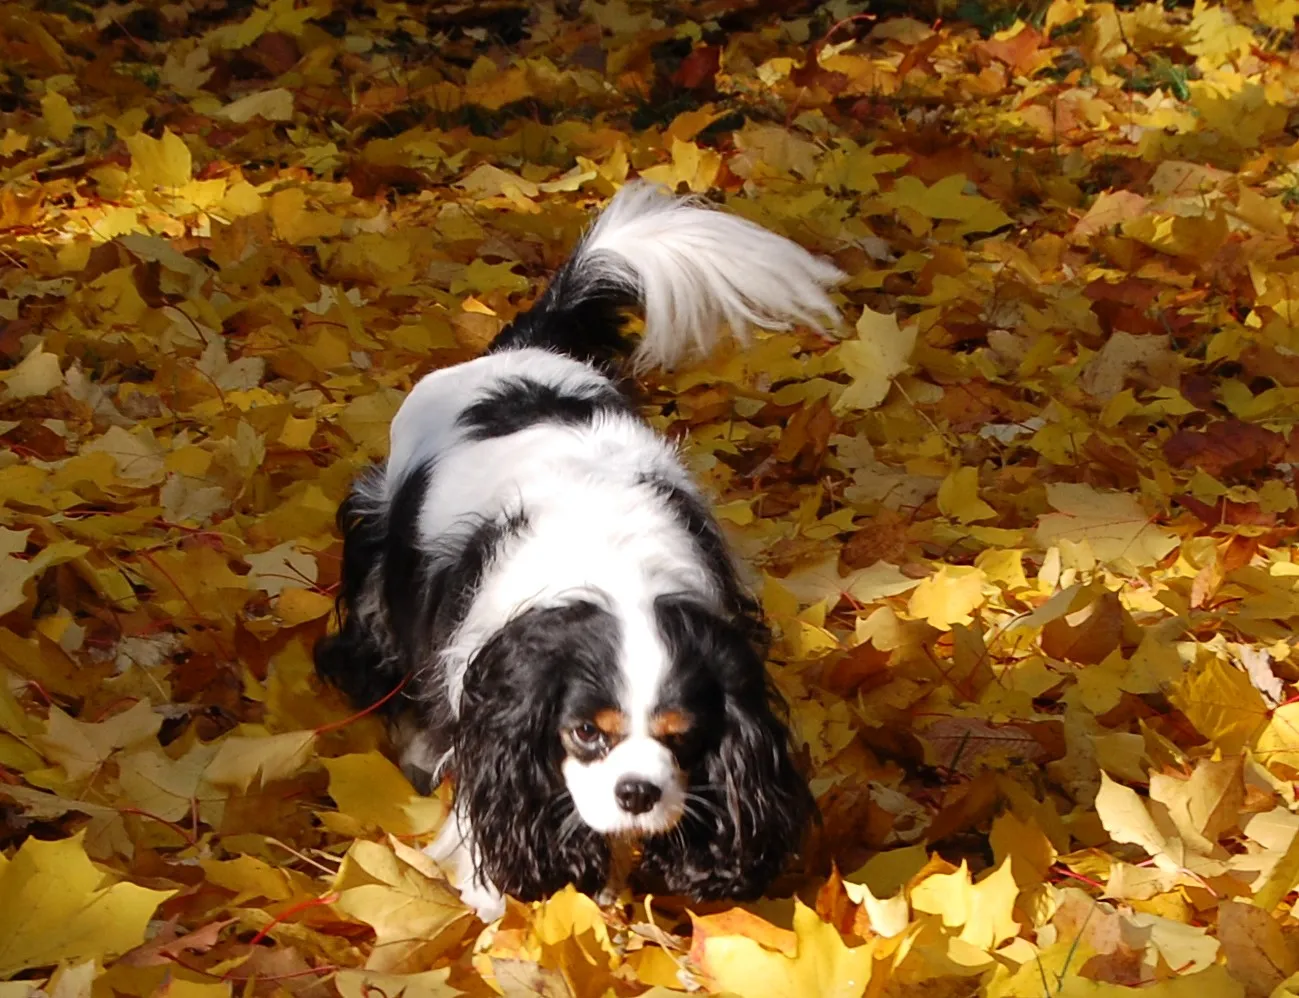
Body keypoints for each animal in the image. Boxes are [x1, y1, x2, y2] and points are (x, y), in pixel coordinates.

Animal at [314, 181, 841, 920]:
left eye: (683, 731)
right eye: (586, 732)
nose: (636, 792)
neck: (613, 572)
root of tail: (521, 350)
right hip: (378, 533)